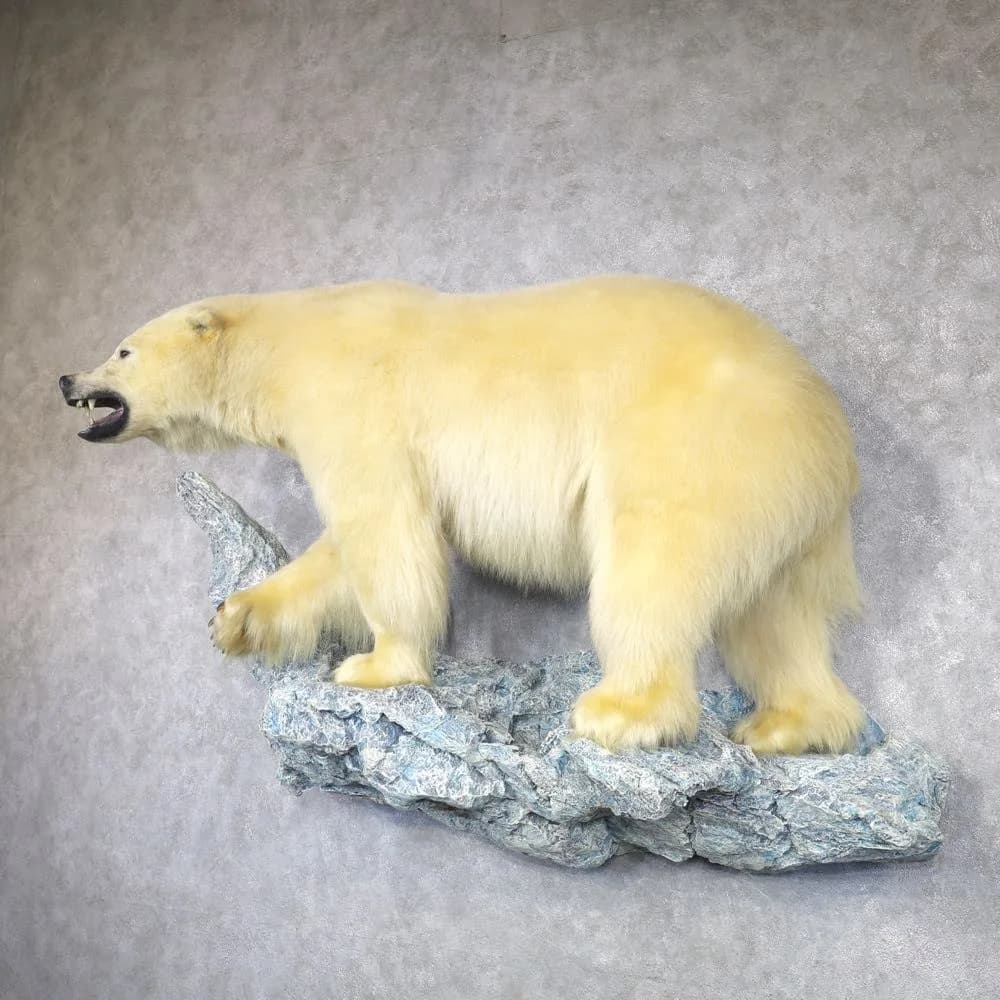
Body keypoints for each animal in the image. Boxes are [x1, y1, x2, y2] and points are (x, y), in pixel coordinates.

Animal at [59, 276, 866, 754]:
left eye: (123, 350)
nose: (68, 378)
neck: (290, 343)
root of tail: (824, 424)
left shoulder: (354, 405)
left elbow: (384, 533)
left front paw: (376, 667)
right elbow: (340, 553)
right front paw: (237, 617)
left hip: (690, 447)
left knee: (653, 572)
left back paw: (622, 712)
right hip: (785, 504)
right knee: (778, 615)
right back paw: (791, 725)